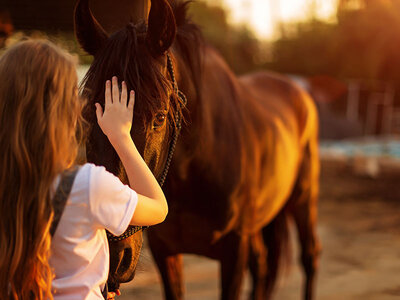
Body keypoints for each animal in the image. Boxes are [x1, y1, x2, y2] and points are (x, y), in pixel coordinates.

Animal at [75, 1, 320, 298]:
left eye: (160, 117)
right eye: (87, 115)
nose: (112, 255)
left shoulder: (234, 251)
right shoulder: (165, 251)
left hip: (304, 199)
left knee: (309, 257)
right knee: (263, 266)